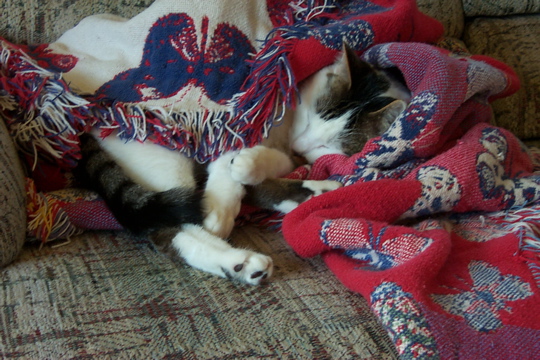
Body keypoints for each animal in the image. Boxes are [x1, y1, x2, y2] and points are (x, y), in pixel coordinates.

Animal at [75, 45, 410, 286]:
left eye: (327, 145)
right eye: (310, 118)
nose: (302, 145)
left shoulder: (284, 149)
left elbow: (270, 165)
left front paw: (252, 168)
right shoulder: (241, 119)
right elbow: (230, 157)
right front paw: (221, 207)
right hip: (159, 148)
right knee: (170, 227)